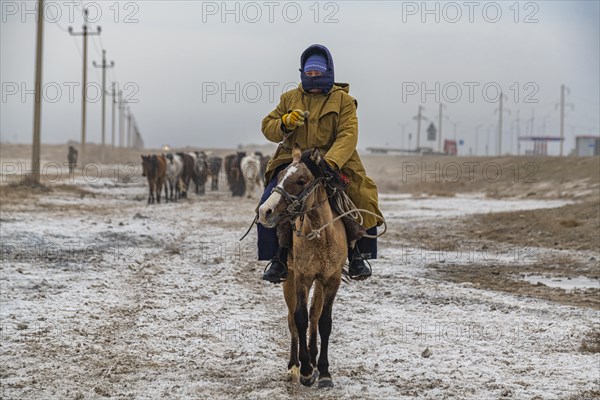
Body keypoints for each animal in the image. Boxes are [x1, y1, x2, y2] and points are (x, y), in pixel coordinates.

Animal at [258, 145, 346, 390]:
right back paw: (294, 367)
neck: (320, 235)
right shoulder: (301, 278)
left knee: (314, 315)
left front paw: (323, 371)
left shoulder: (331, 279)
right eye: (280, 175)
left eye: (301, 180)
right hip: (288, 279)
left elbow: (323, 321)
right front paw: (306, 370)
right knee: (291, 319)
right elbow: (299, 319)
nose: (265, 211)